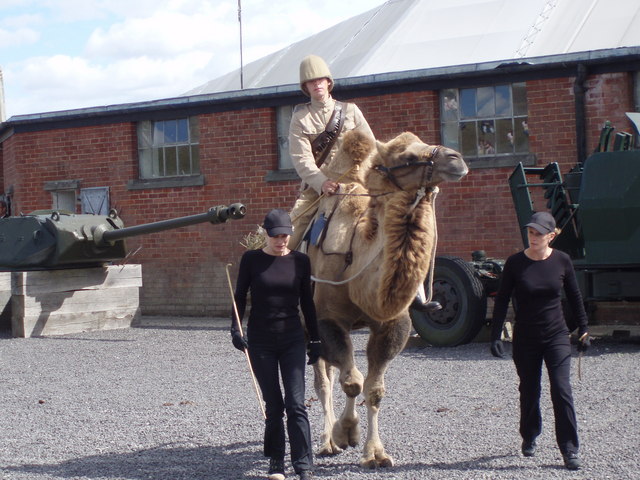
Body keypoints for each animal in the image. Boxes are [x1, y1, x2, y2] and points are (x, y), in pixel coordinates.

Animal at [304, 129, 464, 466]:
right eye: (407, 157)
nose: (456, 159)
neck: (356, 256)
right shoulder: (328, 320)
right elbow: (352, 382)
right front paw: (345, 433)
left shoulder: (391, 323)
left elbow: (373, 389)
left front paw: (375, 453)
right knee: (323, 382)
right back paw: (327, 442)